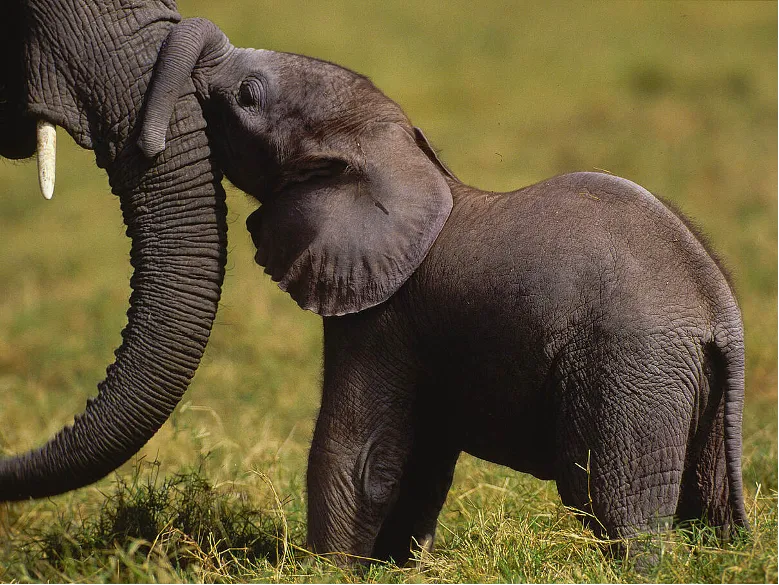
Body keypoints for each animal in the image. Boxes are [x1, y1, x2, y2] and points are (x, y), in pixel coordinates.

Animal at [136, 17, 750, 565]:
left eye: (248, 95)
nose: (149, 141)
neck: (401, 154)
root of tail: (720, 310)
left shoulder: (384, 317)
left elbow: (356, 455)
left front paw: (330, 572)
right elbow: (421, 460)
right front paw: (393, 567)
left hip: (631, 369)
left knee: (613, 502)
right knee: (708, 504)